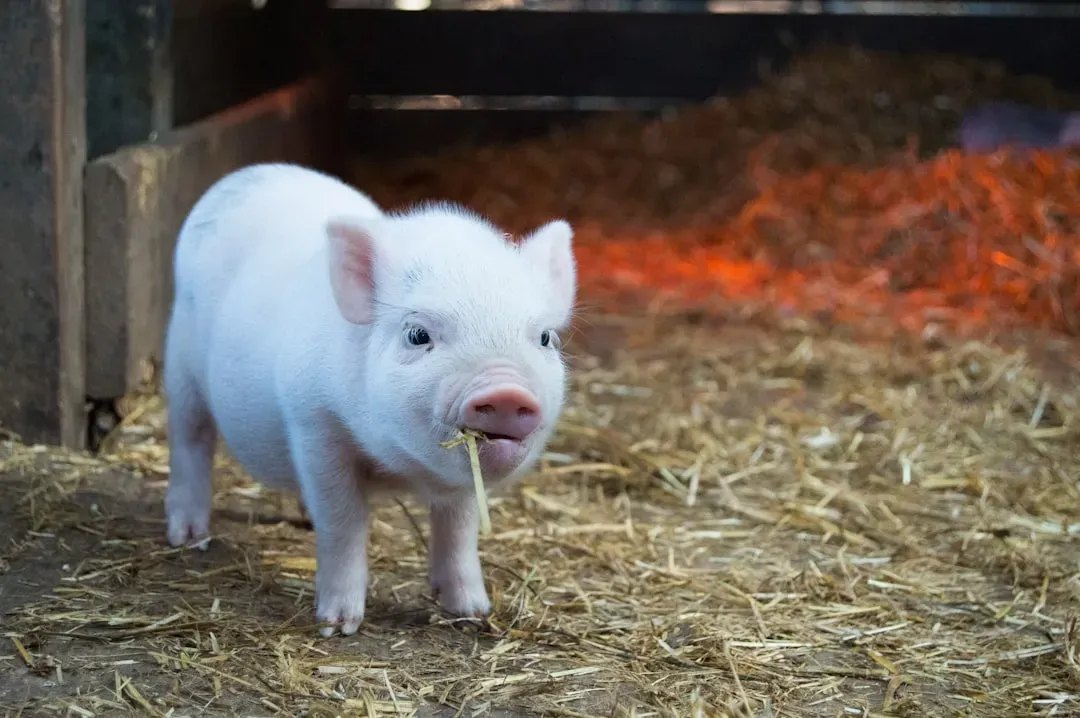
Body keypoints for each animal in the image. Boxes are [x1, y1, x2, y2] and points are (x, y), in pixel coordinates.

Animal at [163, 162, 576, 636]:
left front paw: (473, 612)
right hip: (180, 364)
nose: (506, 391)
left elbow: (459, 528)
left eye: (544, 338)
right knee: (190, 439)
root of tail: (247, 174)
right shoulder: (314, 424)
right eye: (417, 334)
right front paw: (337, 626)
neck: (400, 468)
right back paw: (188, 538)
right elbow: (343, 522)